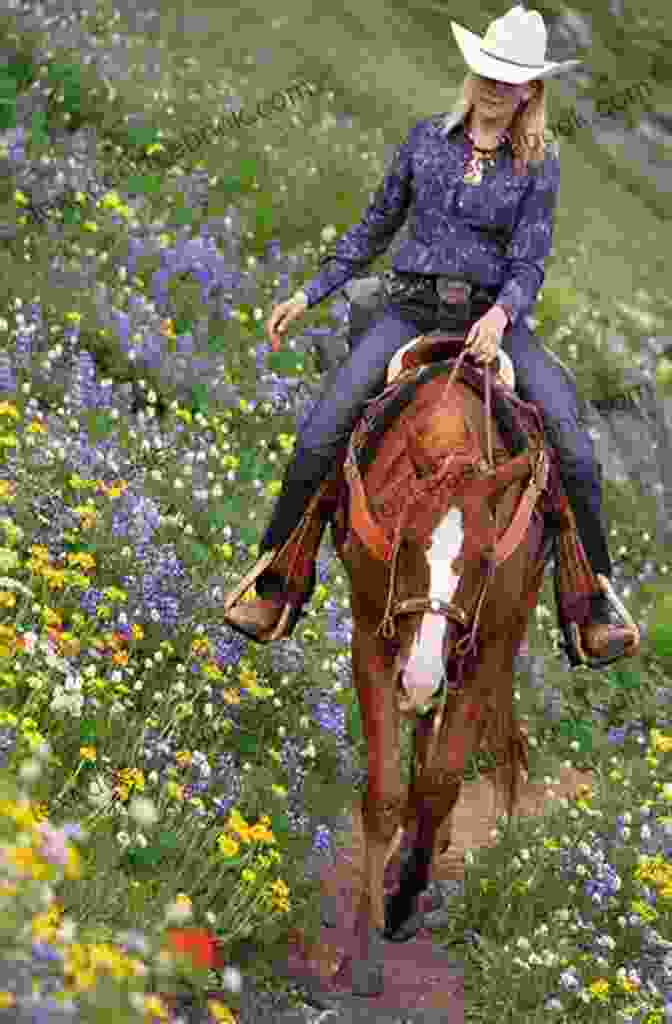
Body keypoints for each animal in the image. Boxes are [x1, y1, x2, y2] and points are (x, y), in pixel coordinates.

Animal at [319, 331, 557, 995]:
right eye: (405, 542)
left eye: (484, 559)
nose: (421, 677)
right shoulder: (373, 641)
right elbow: (386, 795)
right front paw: (364, 951)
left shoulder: (481, 651)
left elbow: (440, 786)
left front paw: (404, 901)